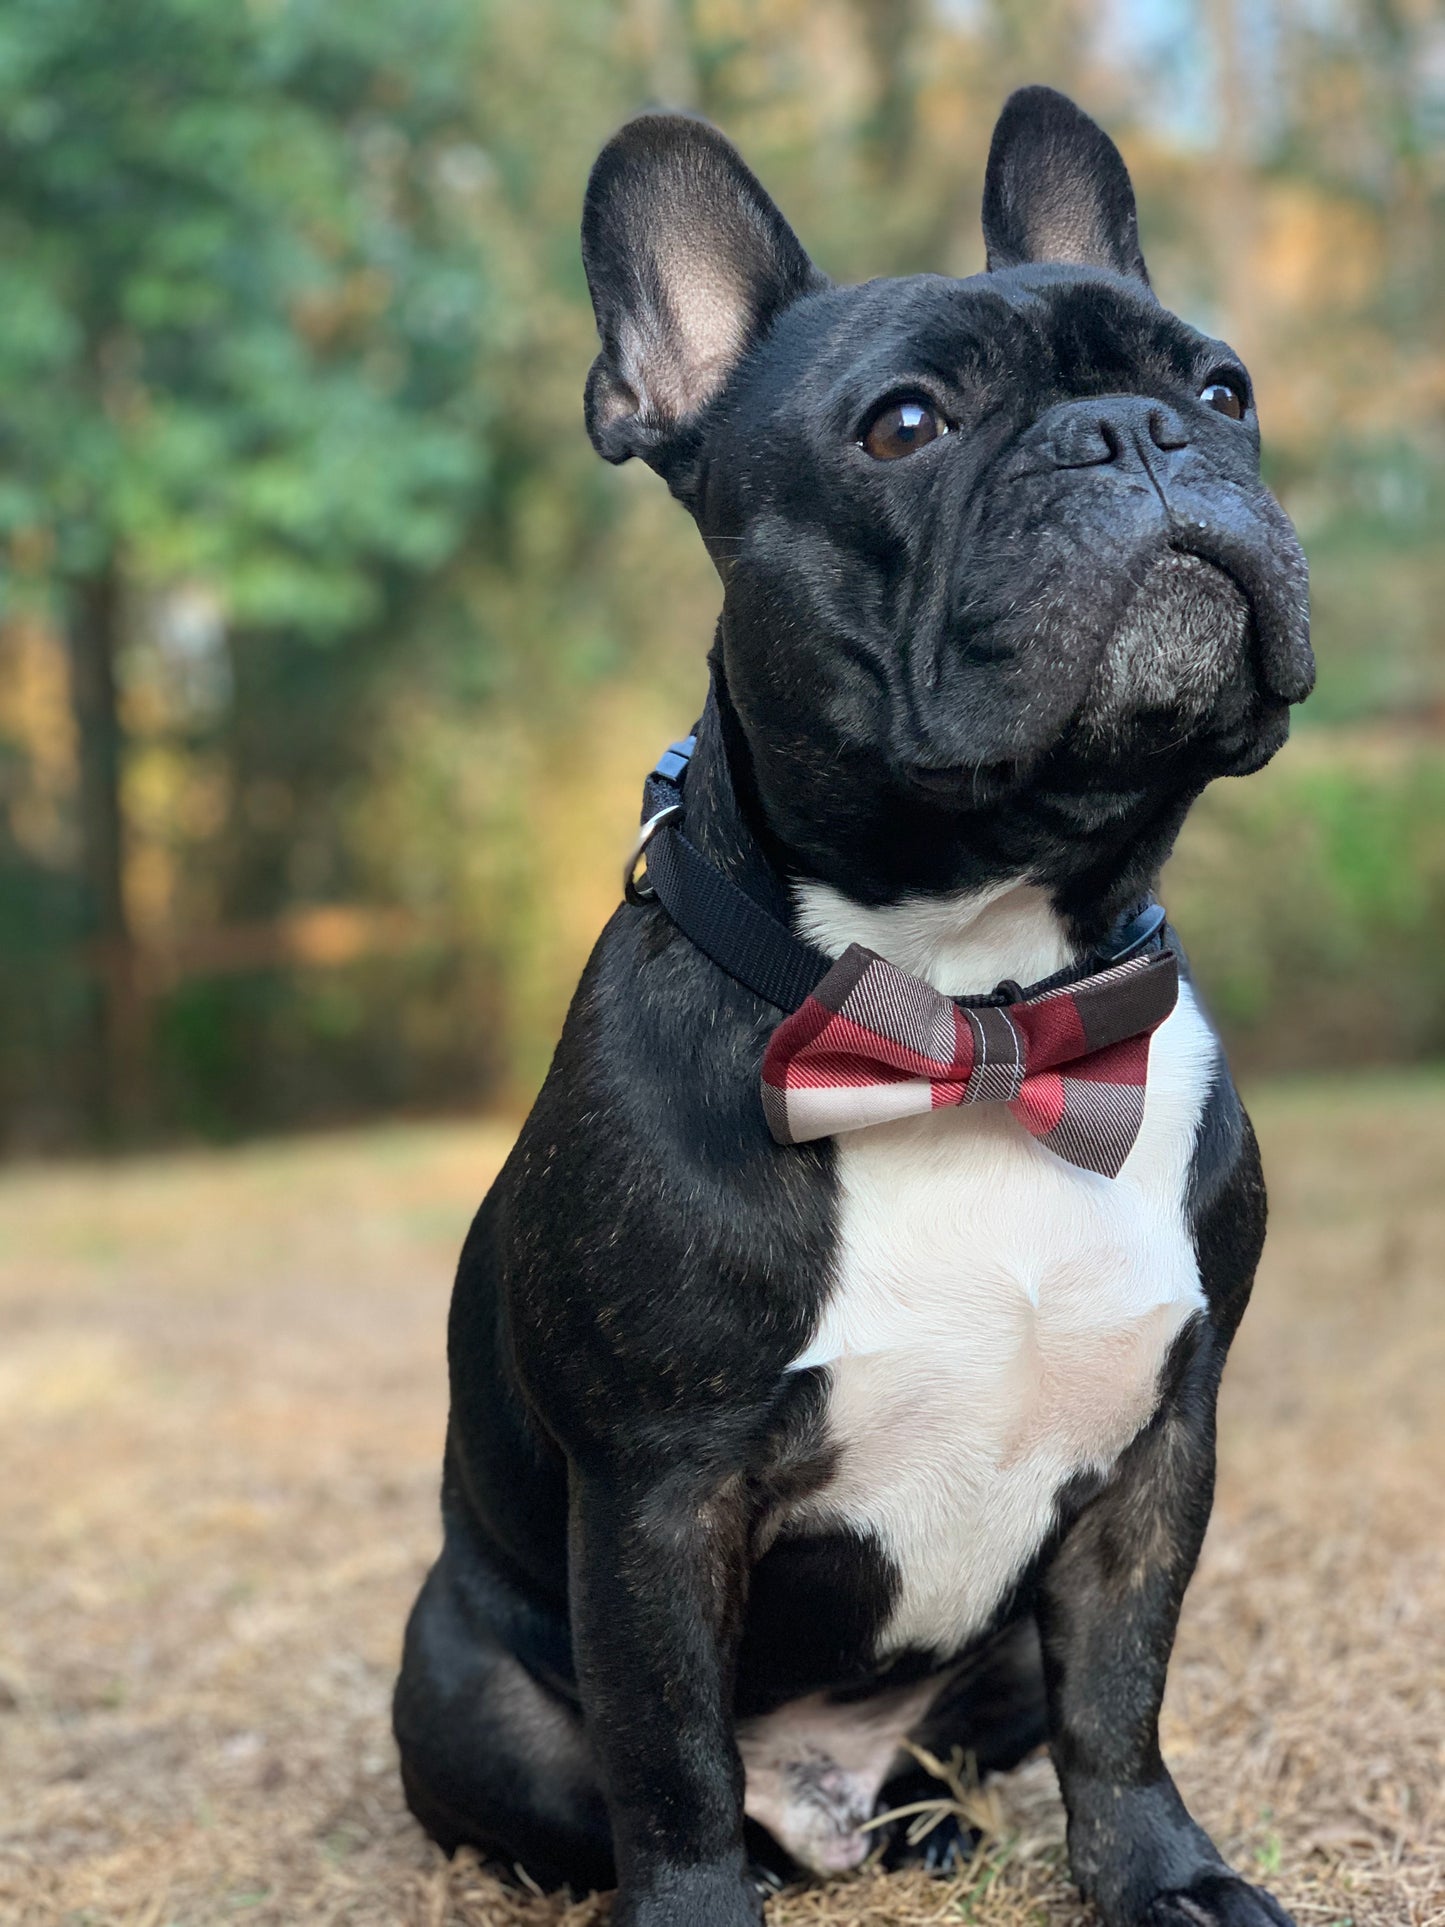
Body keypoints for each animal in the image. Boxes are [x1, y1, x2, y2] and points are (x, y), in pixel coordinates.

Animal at [393, 86, 1310, 1927]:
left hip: (986, 1665)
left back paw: (923, 1831)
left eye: (1221, 389)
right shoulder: (659, 1496)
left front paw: (1165, 1877)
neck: (975, 1008)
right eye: (902, 426)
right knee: (611, 1790)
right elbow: (668, 1761)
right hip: (456, 1681)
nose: (1134, 433)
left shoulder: (1159, 1449)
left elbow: (1123, 1697)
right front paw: (689, 1911)